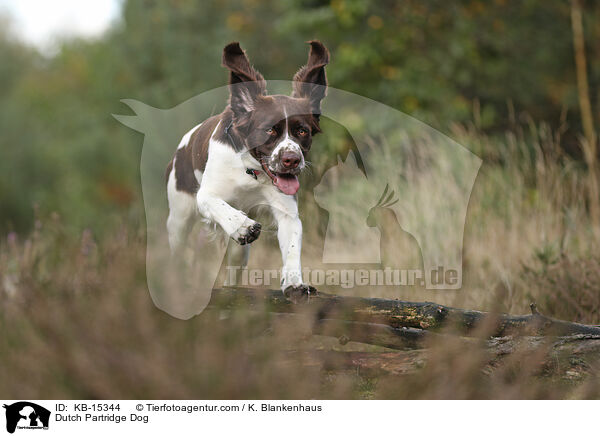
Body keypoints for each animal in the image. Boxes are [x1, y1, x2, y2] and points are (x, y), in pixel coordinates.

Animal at [166, 41, 330, 300]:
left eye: (302, 131)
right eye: (269, 130)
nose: (292, 160)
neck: (251, 171)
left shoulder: (287, 212)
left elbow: (292, 247)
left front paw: (295, 284)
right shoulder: (206, 195)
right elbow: (218, 205)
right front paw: (243, 226)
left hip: (239, 254)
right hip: (179, 218)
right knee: (177, 252)